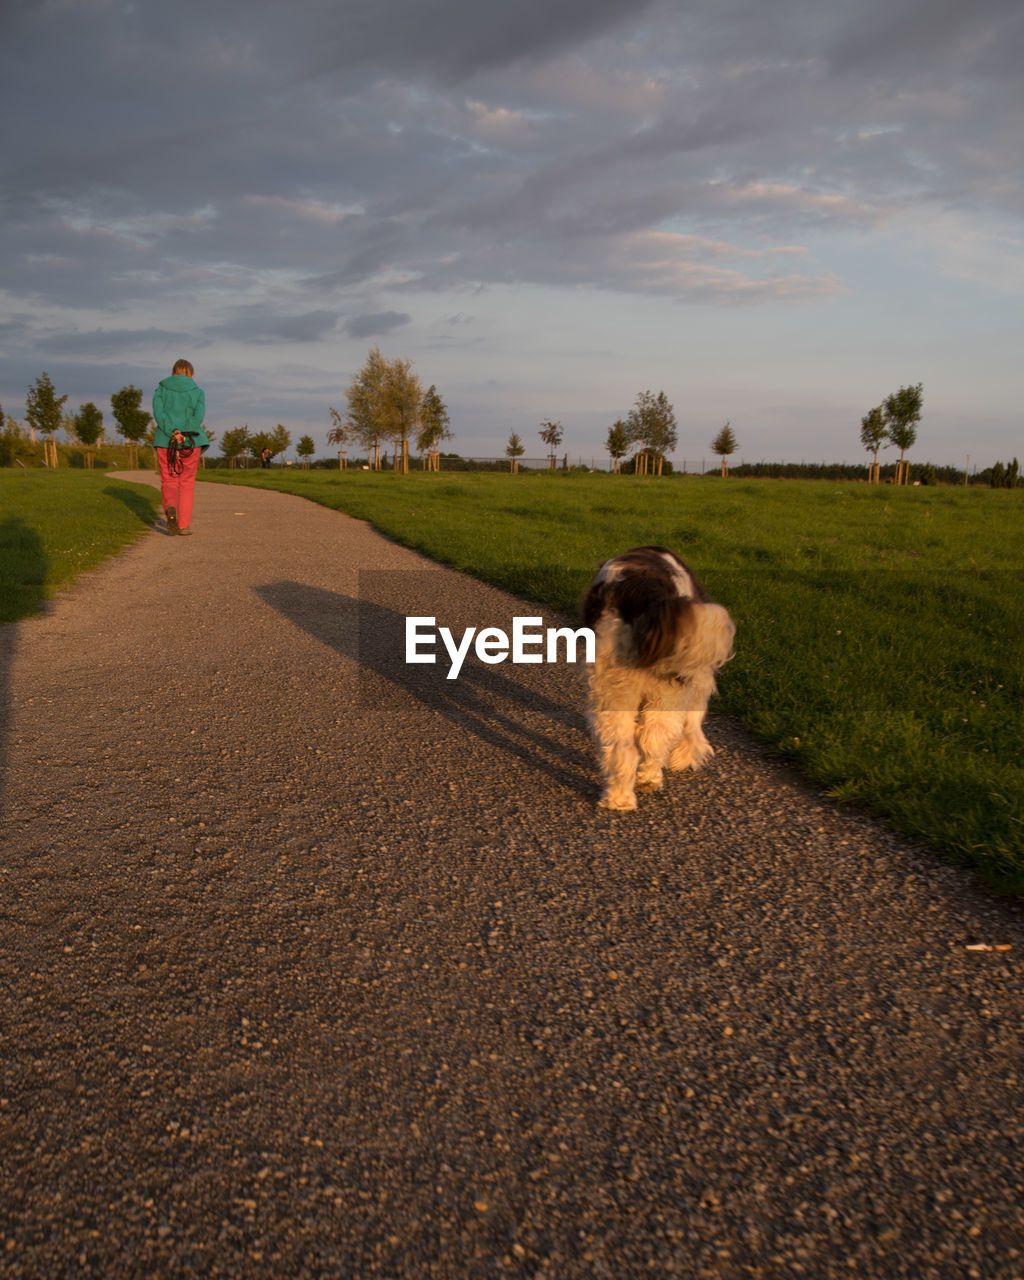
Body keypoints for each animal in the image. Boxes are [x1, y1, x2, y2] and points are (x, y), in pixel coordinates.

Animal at [581, 550, 732, 808]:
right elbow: (692, 723)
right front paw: (687, 756)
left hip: (614, 686)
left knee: (625, 746)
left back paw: (619, 798)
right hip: (670, 689)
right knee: (655, 738)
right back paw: (650, 778)